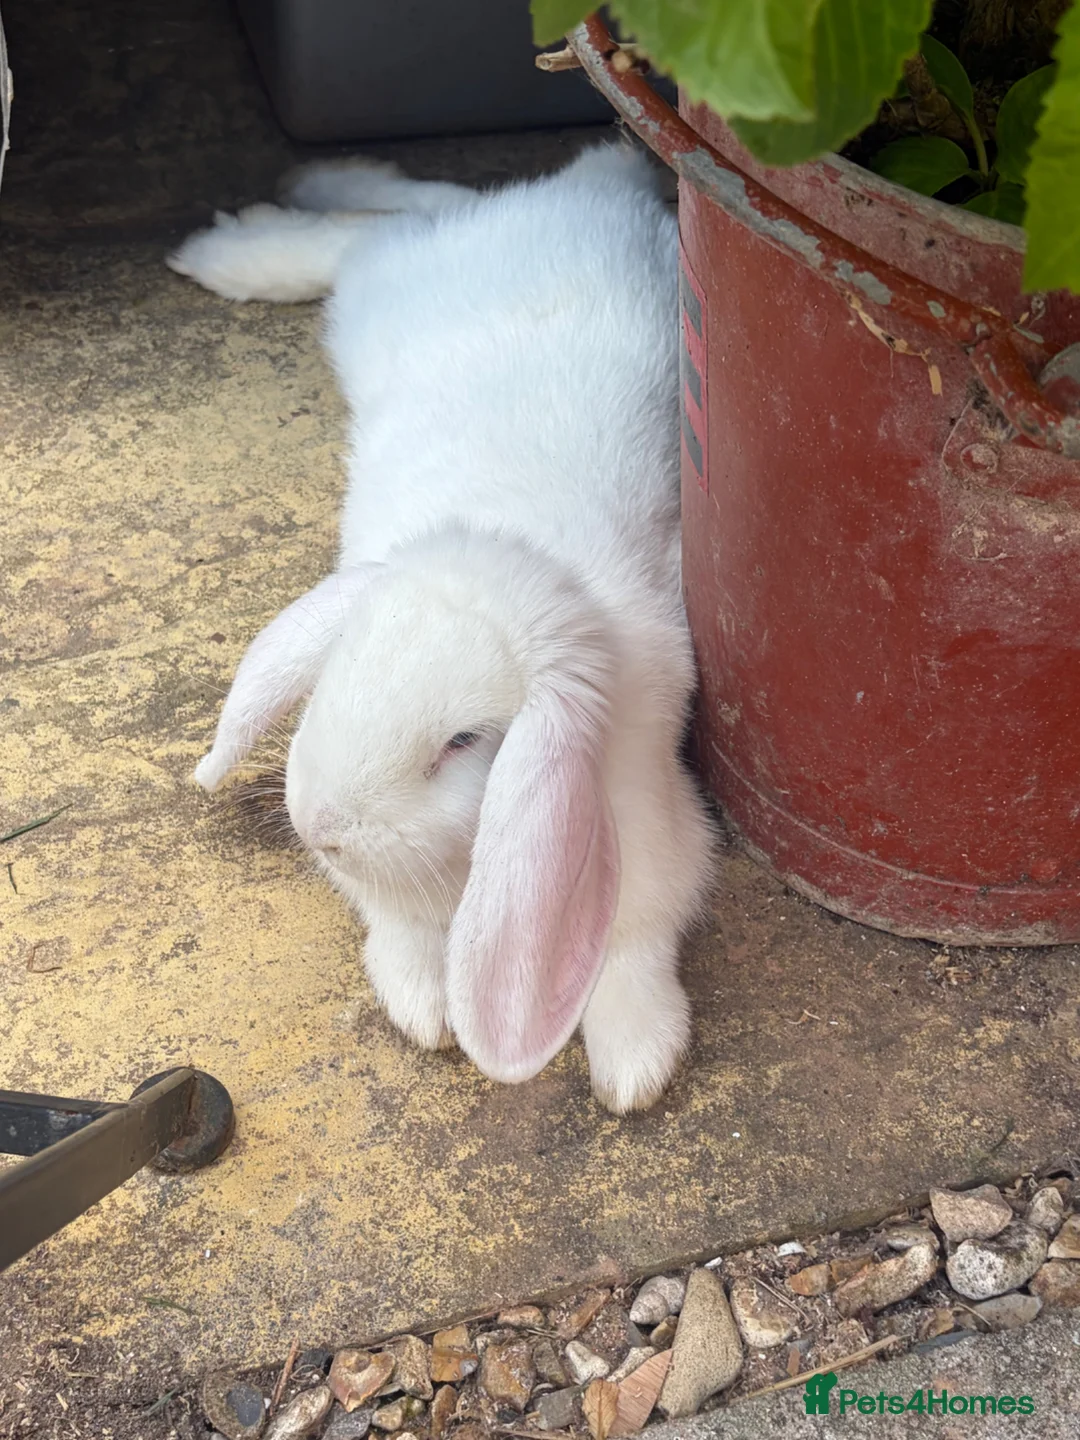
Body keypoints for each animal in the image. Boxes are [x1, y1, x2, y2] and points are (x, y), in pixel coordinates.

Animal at [168, 142, 715, 1113]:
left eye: (463, 741)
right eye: (335, 678)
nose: (321, 829)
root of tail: (584, 194)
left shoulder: (645, 823)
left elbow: (631, 943)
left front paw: (634, 1064)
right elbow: (399, 920)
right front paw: (422, 1004)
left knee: (398, 214)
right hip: (395, 283)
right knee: (379, 223)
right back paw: (234, 244)